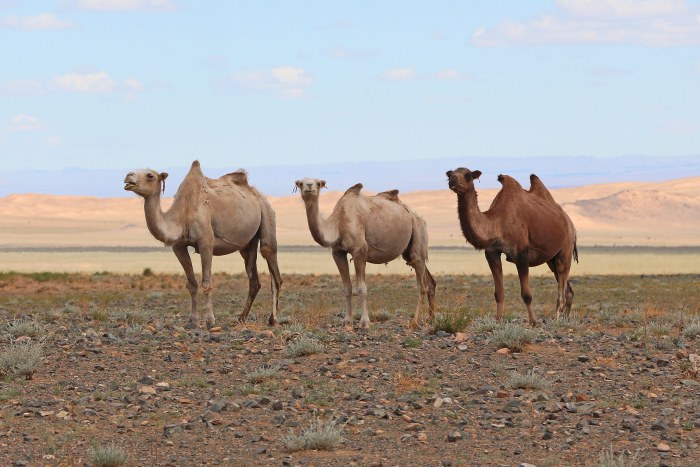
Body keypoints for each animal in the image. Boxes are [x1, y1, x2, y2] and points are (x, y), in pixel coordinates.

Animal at [124, 160, 282, 329]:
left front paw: (210, 321)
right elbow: (192, 284)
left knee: (270, 258)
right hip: (248, 242)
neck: (183, 214)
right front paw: (192, 320)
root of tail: (255, 192)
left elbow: (206, 283)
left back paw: (273, 319)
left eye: (150, 175)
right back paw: (241, 318)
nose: (128, 176)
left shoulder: (206, 242)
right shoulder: (178, 246)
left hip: (267, 212)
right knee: (253, 278)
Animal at [294, 178, 436, 330]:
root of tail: (420, 218)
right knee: (429, 281)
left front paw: (365, 322)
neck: (338, 223)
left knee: (421, 284)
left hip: (418, 234)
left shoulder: (359, 251)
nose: (309, 186)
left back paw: (414, 322)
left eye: (318, 183)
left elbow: (362, 287)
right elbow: (346, 288)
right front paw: (347, 322)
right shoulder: (338, 252)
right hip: (409, 251)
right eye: (300, 183)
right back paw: (431, 319)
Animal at [446, 168, 578, 326]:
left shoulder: (521, 254)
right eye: (451, 173)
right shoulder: (492, 252)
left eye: (467, 175)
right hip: (551, 259)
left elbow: (526, 294)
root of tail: (570, 223)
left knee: (561, 286)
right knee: (567, 289)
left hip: (566, 249)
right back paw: (565, 318)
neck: (497, 223)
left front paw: (533, 322)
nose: (453, 180)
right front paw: (498, 320)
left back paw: (557, 319)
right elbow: (499, 293)